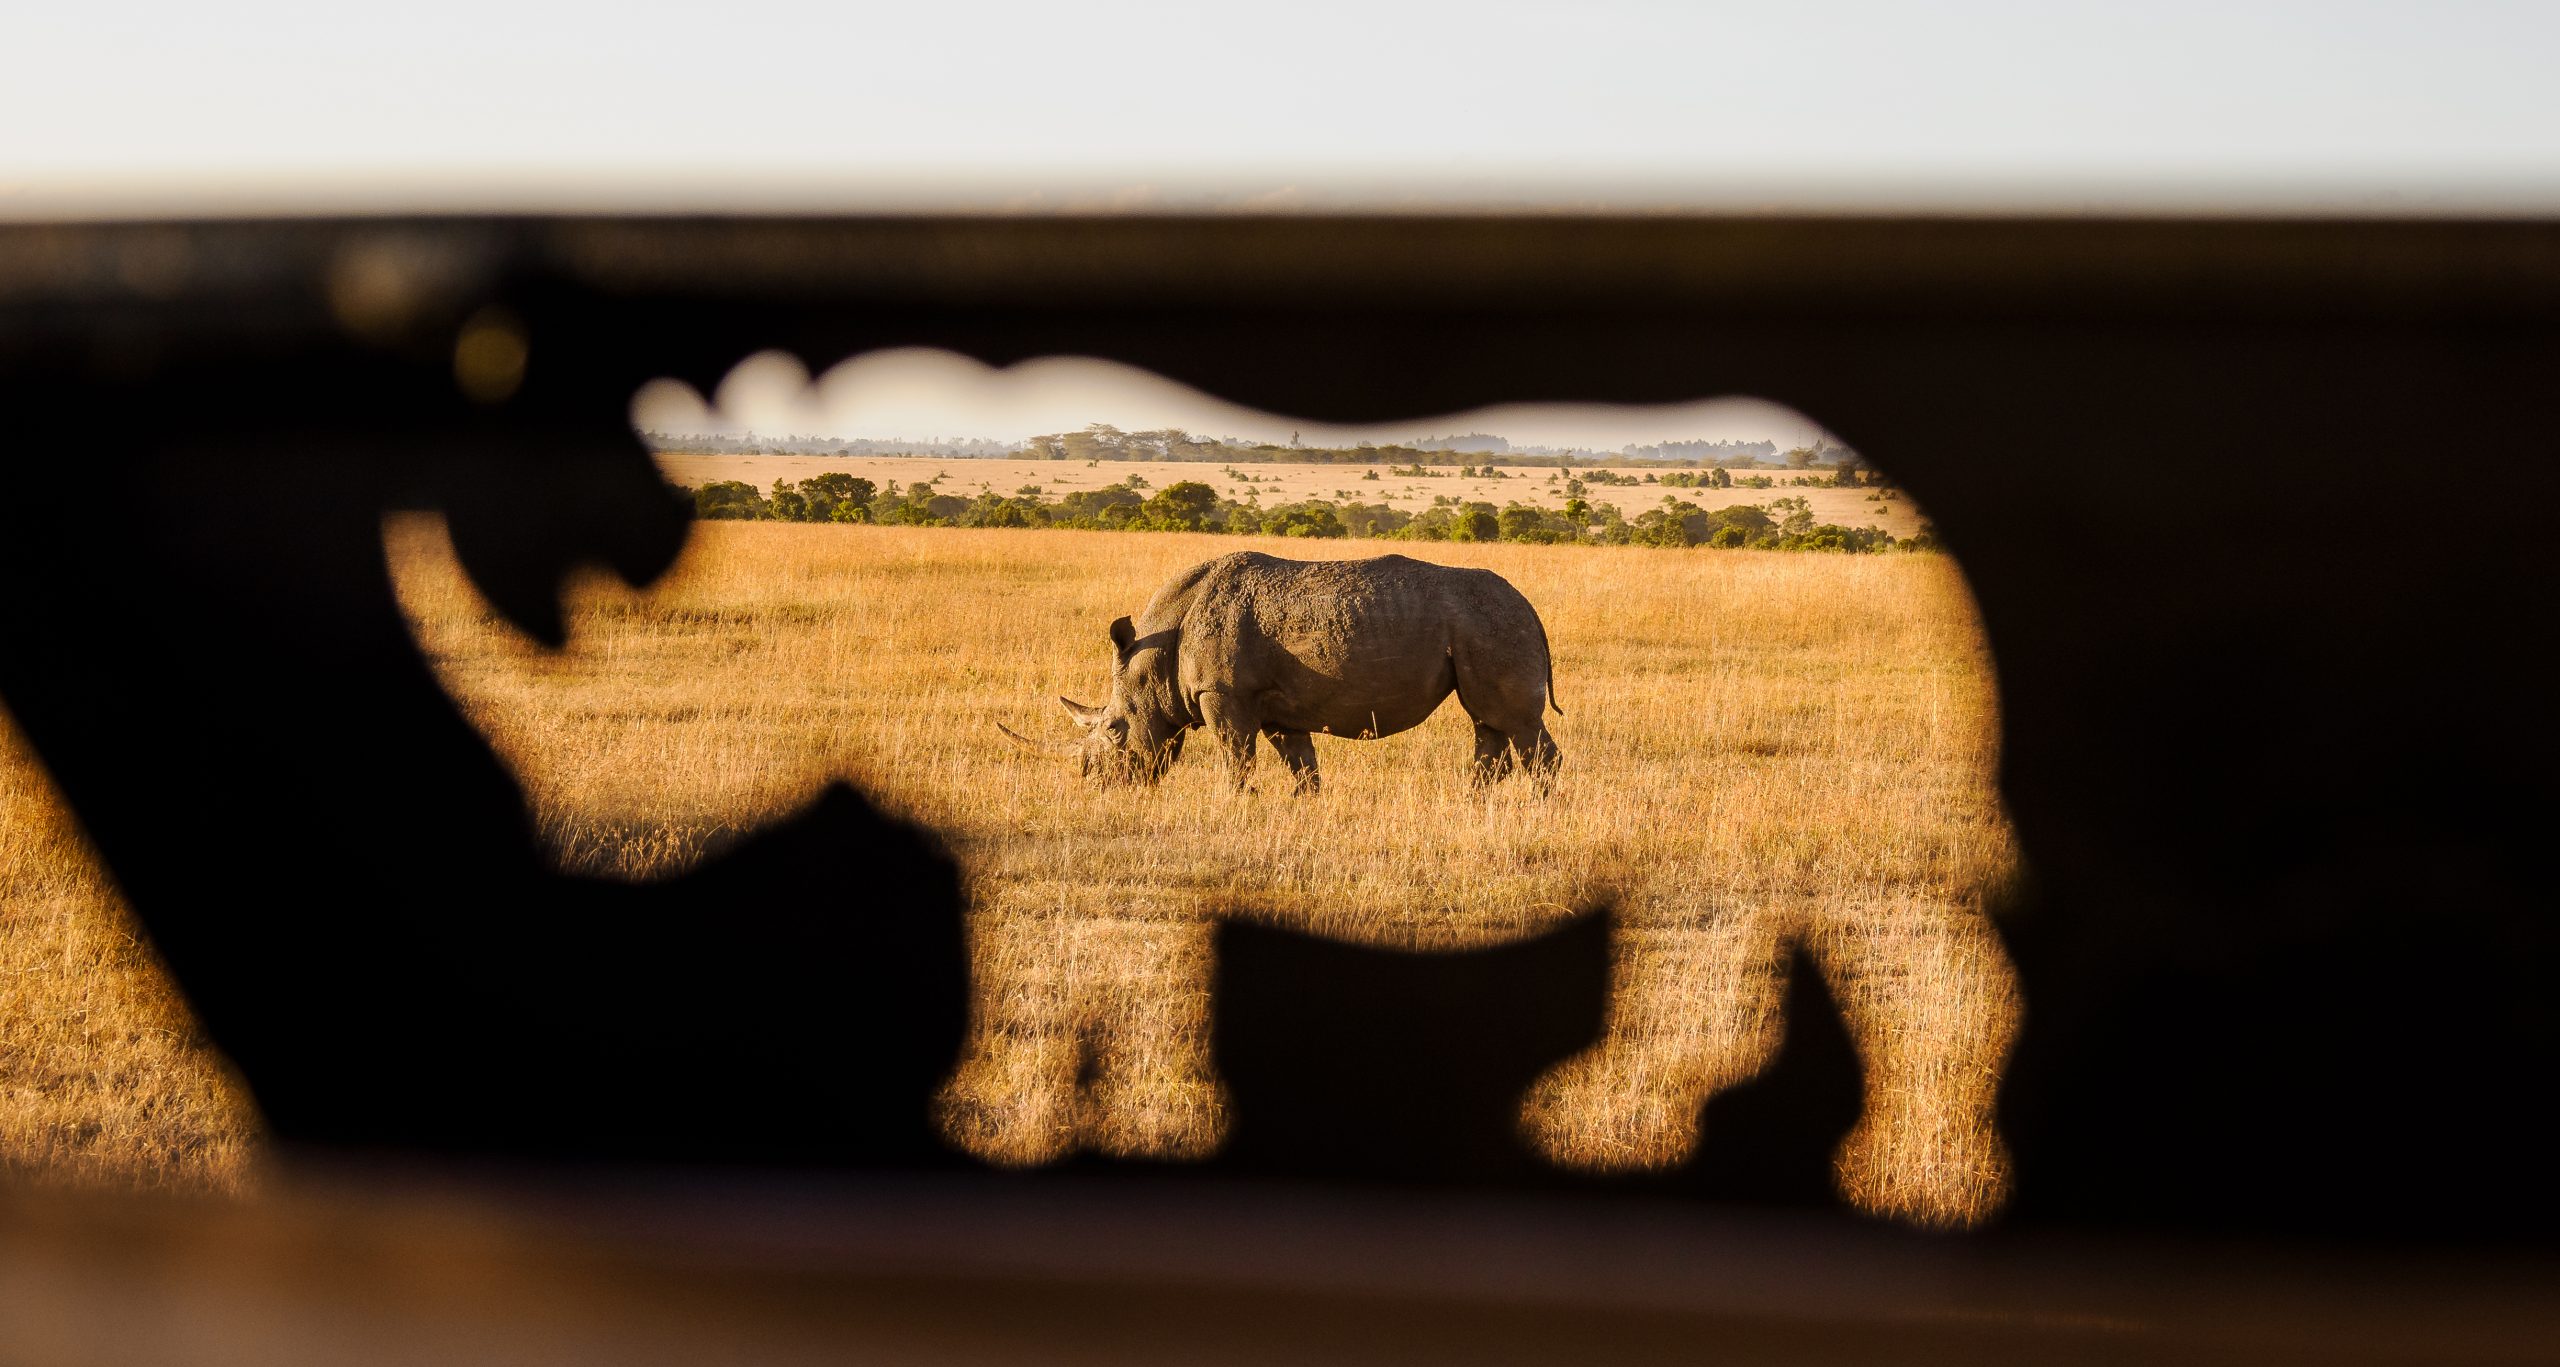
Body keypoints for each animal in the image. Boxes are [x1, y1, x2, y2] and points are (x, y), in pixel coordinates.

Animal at [1000, 551, 1561, 793]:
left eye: (1116, 729)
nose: (1096, 782)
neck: (1154, 657)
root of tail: (1533, 610)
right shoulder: (1277, 708)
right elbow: (1300, 763)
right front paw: (1304, 805)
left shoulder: (1222, 693)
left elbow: (1235, 758)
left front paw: (1234, 805)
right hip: (1483, 628)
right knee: (1487, 721)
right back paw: (1476, 803)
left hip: (1494, 625)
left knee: (1515, 722)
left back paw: (1537, 808)